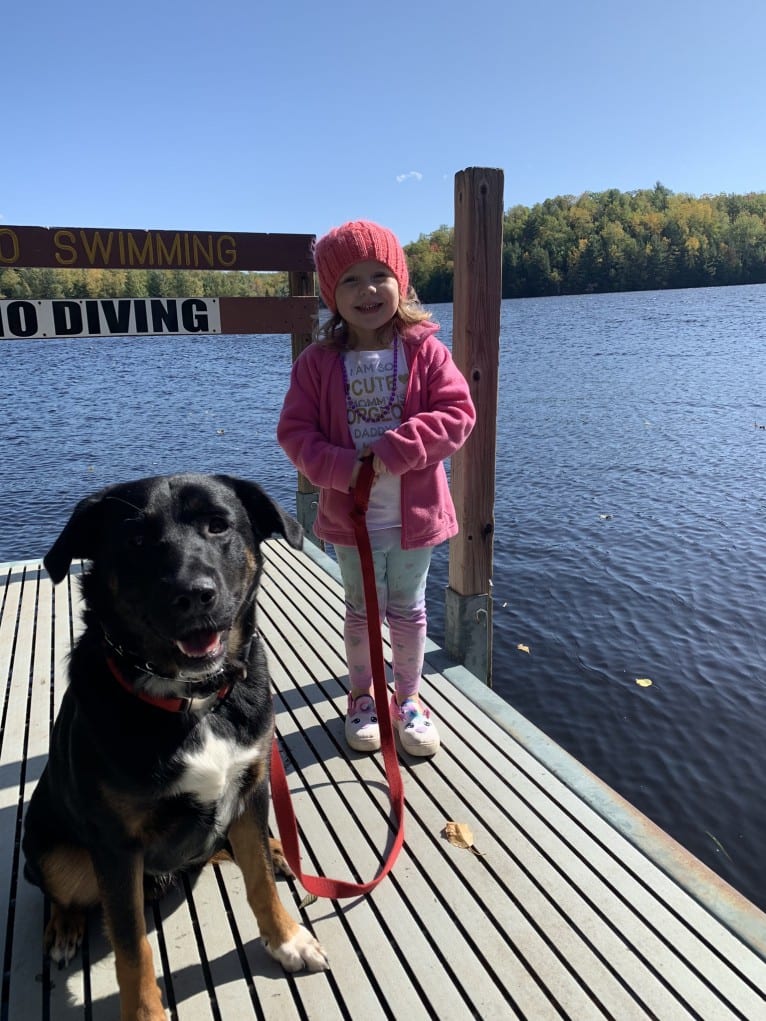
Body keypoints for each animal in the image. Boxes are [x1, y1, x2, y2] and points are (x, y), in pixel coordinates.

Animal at [23, 473, 330, 1021]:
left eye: (218, 525)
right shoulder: (117, 845)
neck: (195, 698)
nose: (194, 594)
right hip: (51, 850)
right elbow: (132, 948)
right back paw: (63, 928)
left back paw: (276, 851)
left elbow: (259, 882)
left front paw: (286, 940)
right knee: (61, 891)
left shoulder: (250, 788)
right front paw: (144, 1013)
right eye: (136, 540)